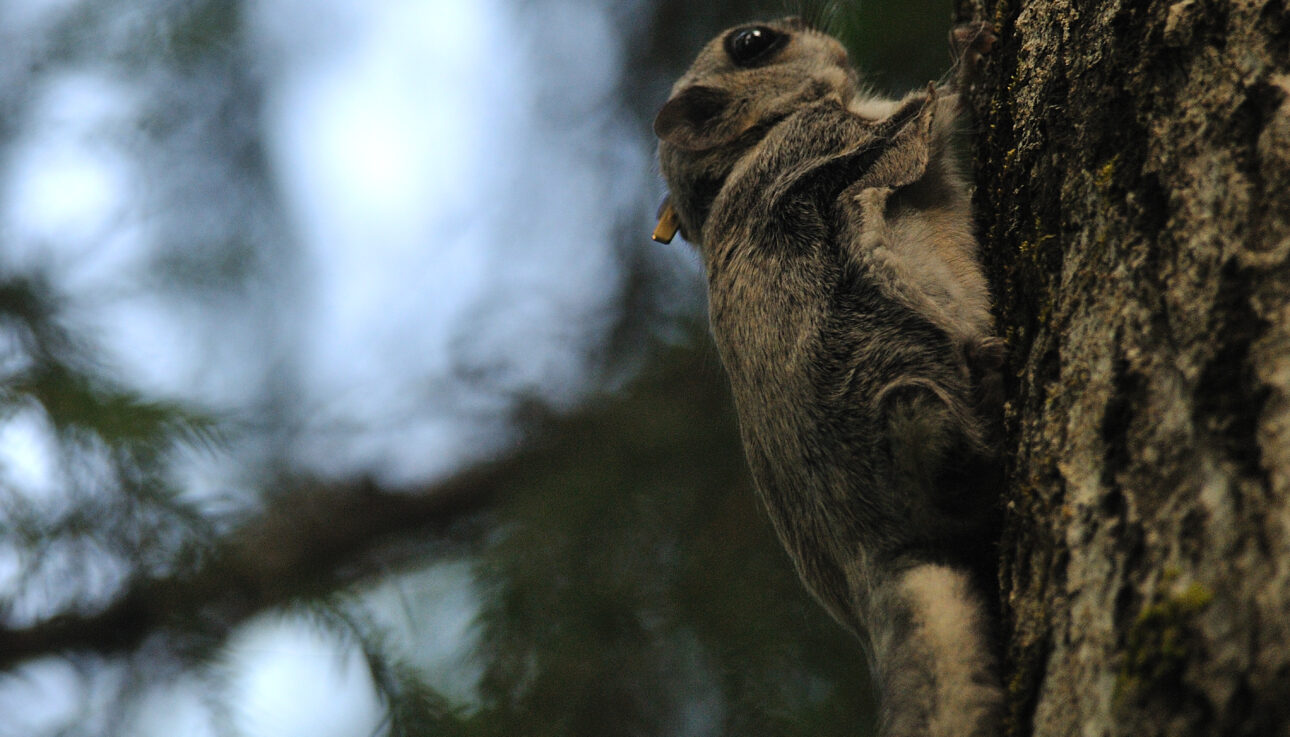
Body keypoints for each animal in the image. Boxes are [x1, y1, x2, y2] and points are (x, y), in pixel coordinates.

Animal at [653, 17, 1004, 737]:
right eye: (754, 41)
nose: (822, 35)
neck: (748, 148)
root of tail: (875, 559)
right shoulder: (829, 143)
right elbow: (923, 120)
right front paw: (969, 54)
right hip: (896, 385)